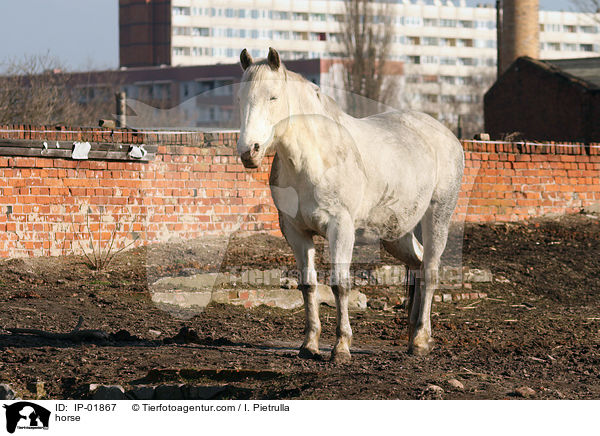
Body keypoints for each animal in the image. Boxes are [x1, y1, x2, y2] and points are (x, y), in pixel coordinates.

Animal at [236, 46, 464, 362]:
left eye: (273, 97)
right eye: (241, 99)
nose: (249, 152)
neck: (316, 159)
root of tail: (447, 135)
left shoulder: (340, 228)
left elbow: (339, 285)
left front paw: (341, 347)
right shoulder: (295, 232)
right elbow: (308, 284)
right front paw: (309, 344)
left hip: (437, 217)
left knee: (429, 272)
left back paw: (420, 339)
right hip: (396, 234)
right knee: (417, 266)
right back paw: (413, 335)